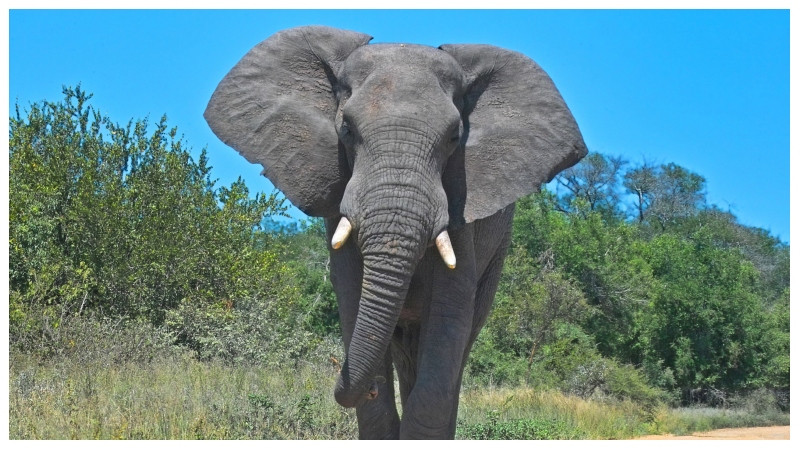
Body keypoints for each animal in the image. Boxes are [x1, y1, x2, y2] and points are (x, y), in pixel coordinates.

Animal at [204, 25, 587, 439]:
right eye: (347, 129)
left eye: (455, 137)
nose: (367, 384)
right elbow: (351, 294)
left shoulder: (462, 207)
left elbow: (451, 315)